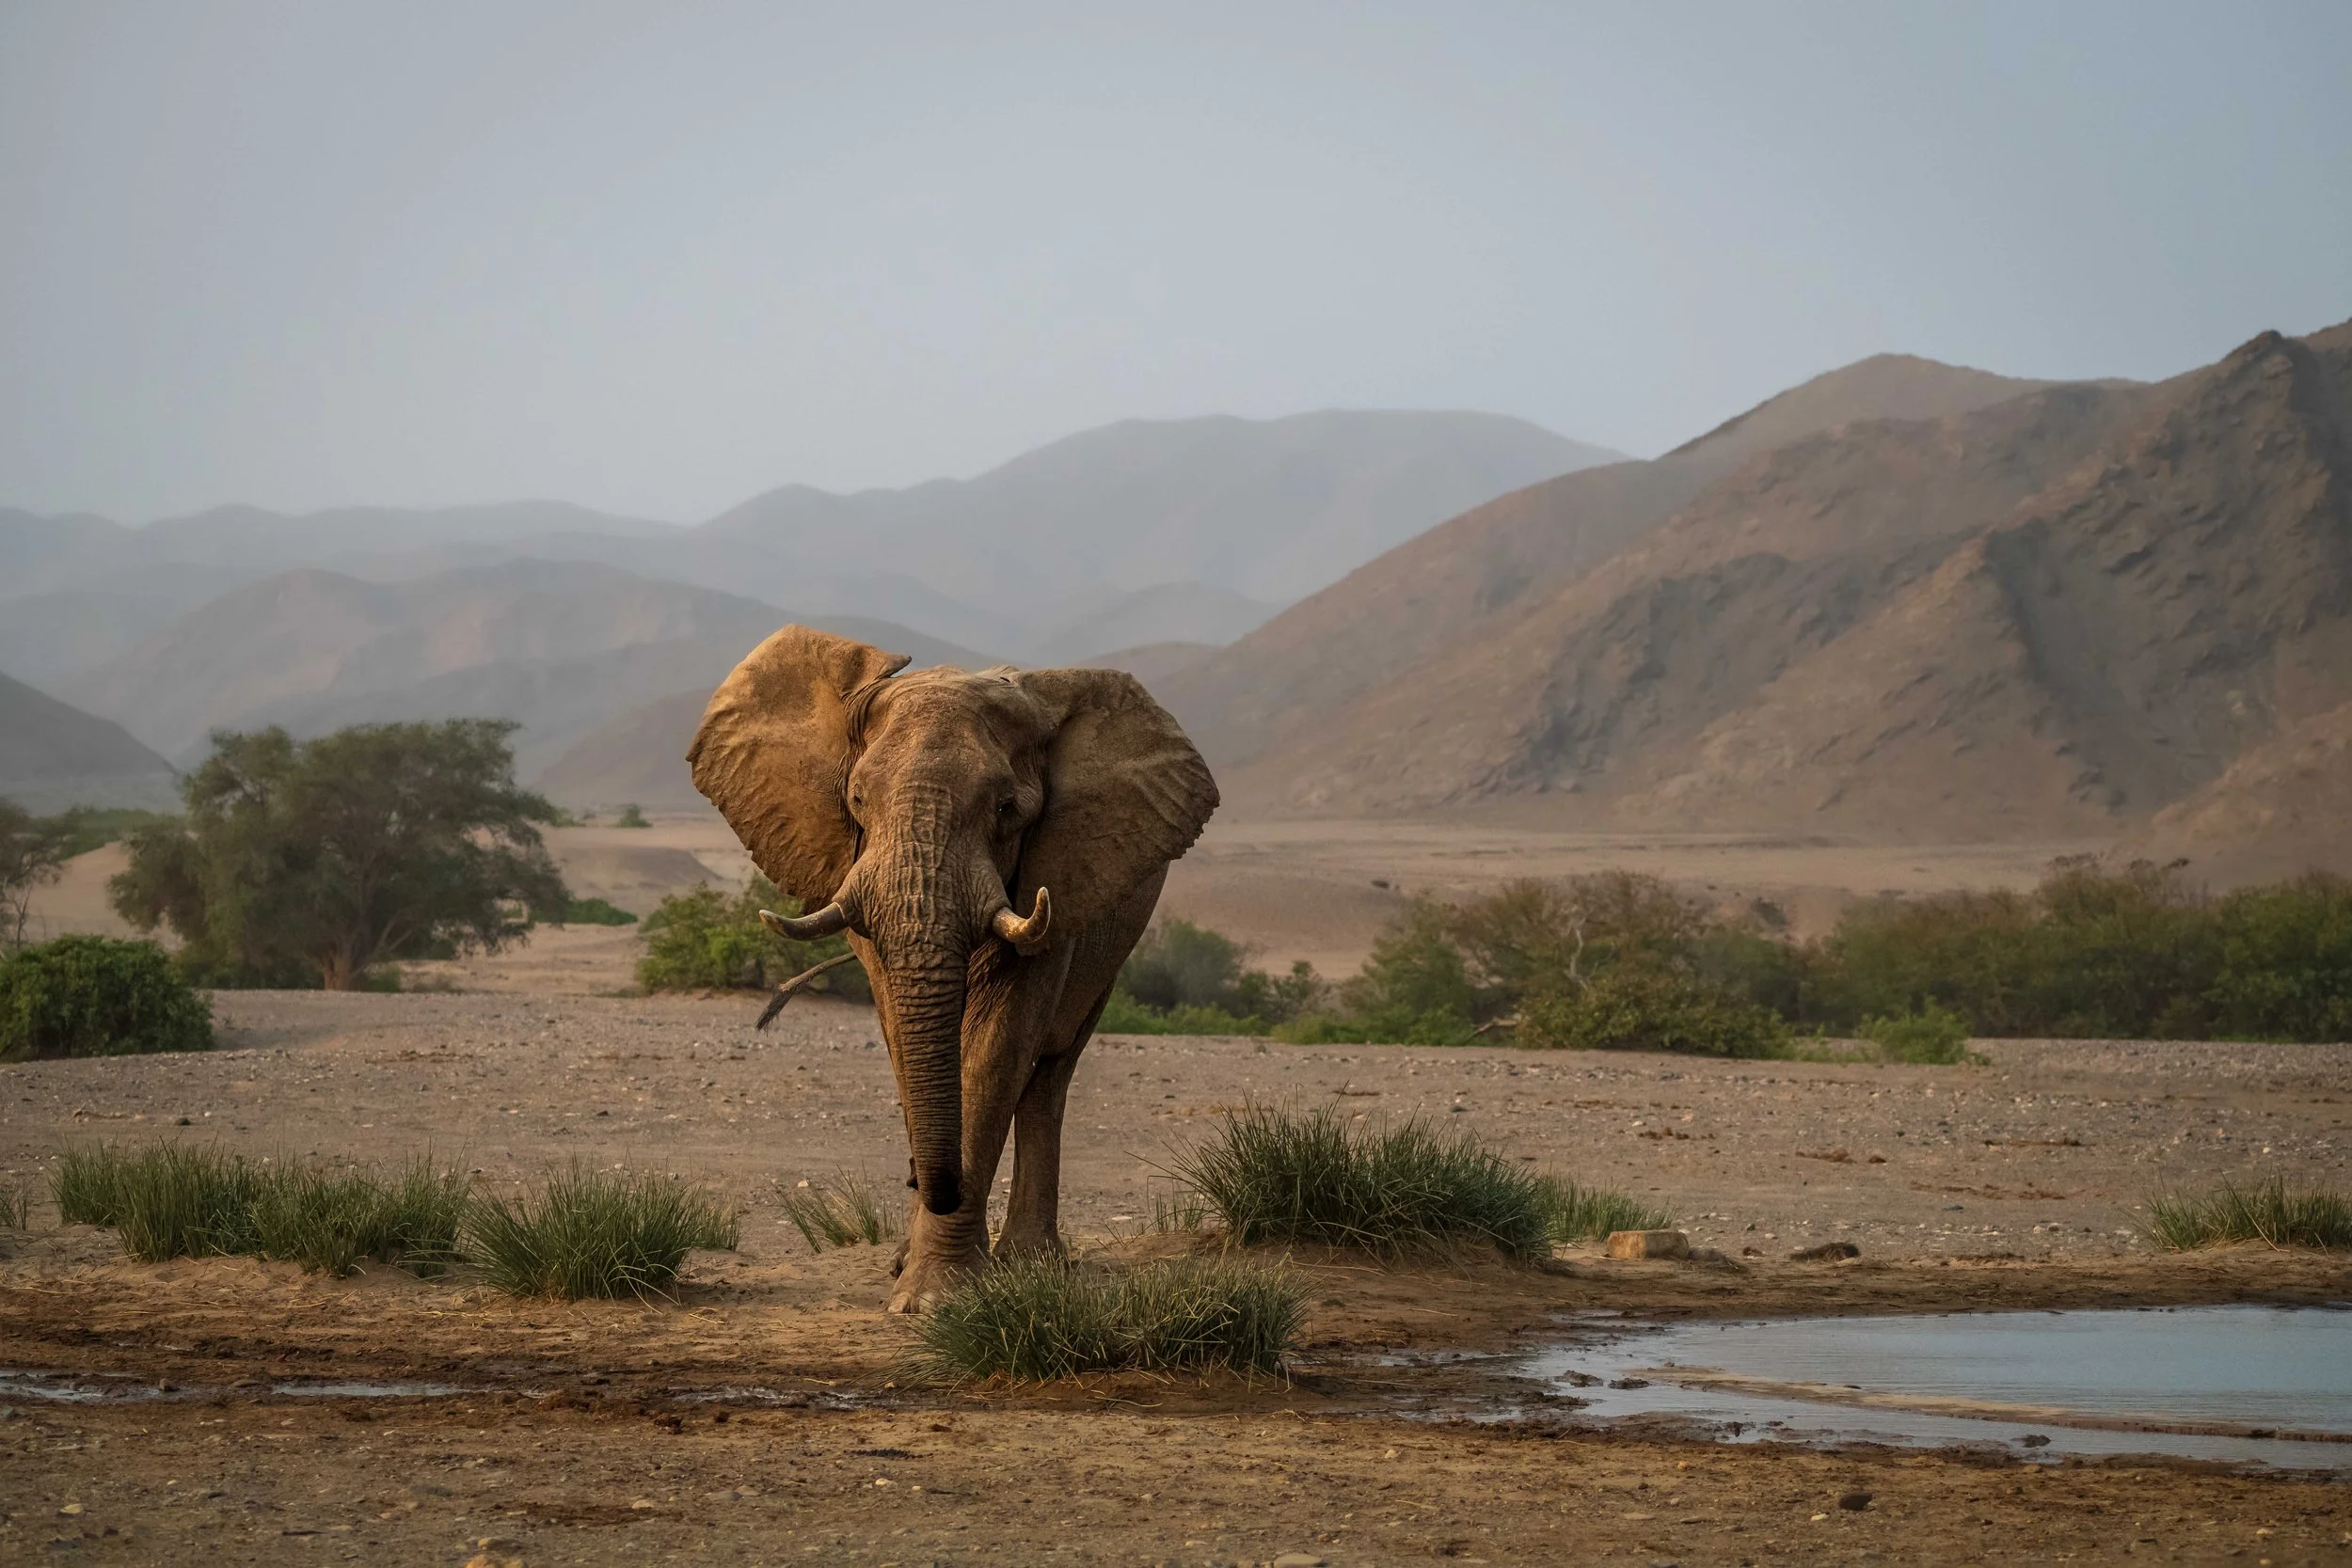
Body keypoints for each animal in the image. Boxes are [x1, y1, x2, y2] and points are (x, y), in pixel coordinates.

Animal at [687, 625, 1219, 1312]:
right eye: (856, 799)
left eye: (1006, 808)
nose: (932, 1184)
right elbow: (901, 1036)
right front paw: (913, 1275)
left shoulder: (1057, 883)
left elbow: (996, 1049)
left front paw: (937, 1297)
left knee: (1050, 1074)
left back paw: (1032, 1263)